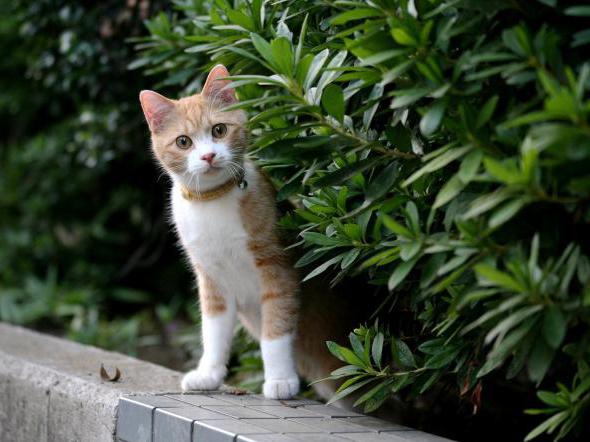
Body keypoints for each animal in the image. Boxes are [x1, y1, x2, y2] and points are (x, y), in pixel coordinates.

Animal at [140, 64, 358, 400]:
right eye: (183, 142)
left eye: (219, 130)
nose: (208, 156)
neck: (212, 201)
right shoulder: (211, 278)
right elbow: (213, 331)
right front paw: (209, 375)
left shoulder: (278, 268)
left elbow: (276, 328)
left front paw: (280, 380)